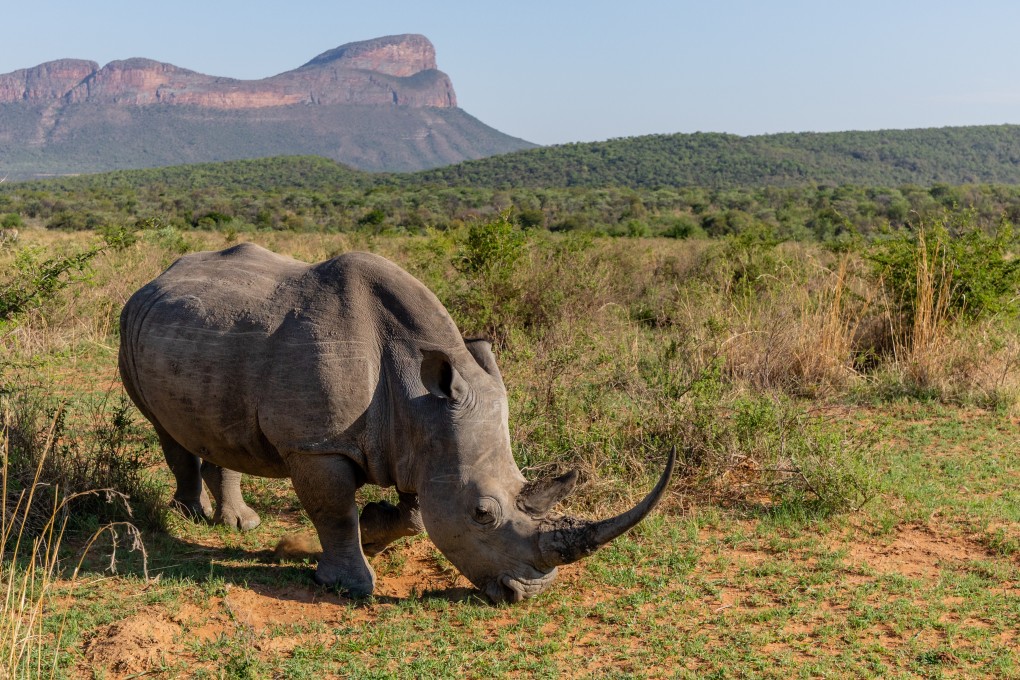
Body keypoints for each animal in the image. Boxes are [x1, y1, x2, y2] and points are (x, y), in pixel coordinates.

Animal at [118, 243, 673, 603]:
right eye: (482, 515)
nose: (526, 594)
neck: (417, 394)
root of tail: (155, 278)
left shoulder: (423, 434)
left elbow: (416, 515)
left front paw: (372, 529)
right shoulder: (316, 444)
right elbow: (333, 512)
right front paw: (346, 583)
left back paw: (239, 523)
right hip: (130, 325)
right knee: (165, 428)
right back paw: (188, 517)